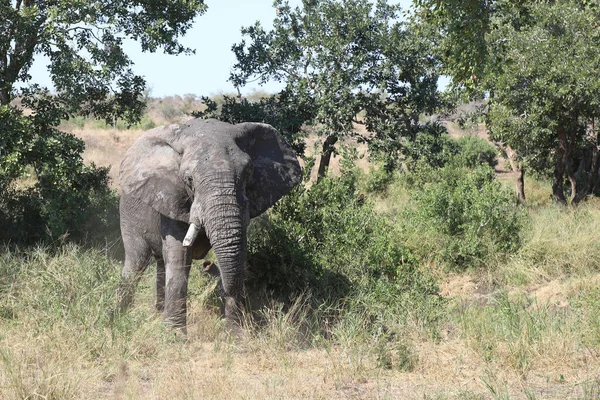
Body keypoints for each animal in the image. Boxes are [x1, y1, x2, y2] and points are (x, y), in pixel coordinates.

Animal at [118, 118, 302, 332]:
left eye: (248, 173)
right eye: (188, 179)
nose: (208, 266)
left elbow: (238, 253)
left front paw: (235, 334)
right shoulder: (173, 198)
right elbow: (179, 257)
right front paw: (173, 335)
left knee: (161, 264)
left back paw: (156, 313)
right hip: (128, 213)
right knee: (136, 261)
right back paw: (119, 315)